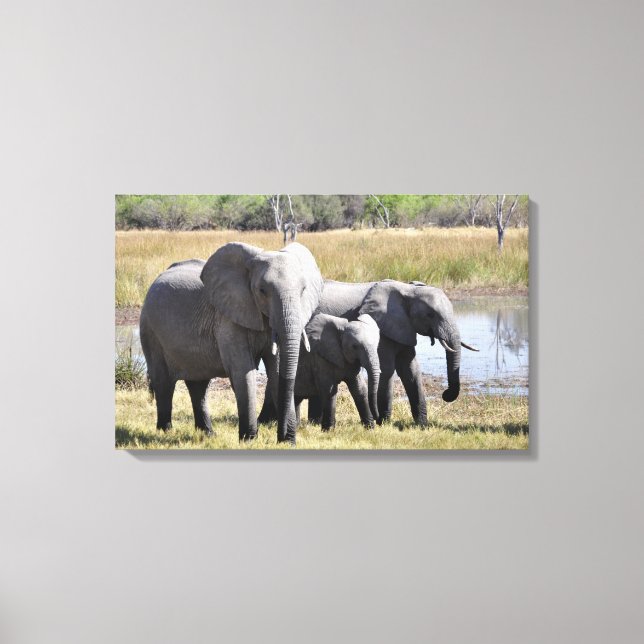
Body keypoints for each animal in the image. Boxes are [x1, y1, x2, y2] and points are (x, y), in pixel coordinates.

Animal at [139, 242, 323, 444]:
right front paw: (249, 440)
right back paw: (165, 431)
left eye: (303, 290)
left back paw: (207, 434)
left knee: (199, 385)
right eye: (262, 291)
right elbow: (243, 371)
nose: (283, 437)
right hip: (150, 330)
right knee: (163, 382)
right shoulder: (228, 319)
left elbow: (276, 371)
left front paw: (286, 442)